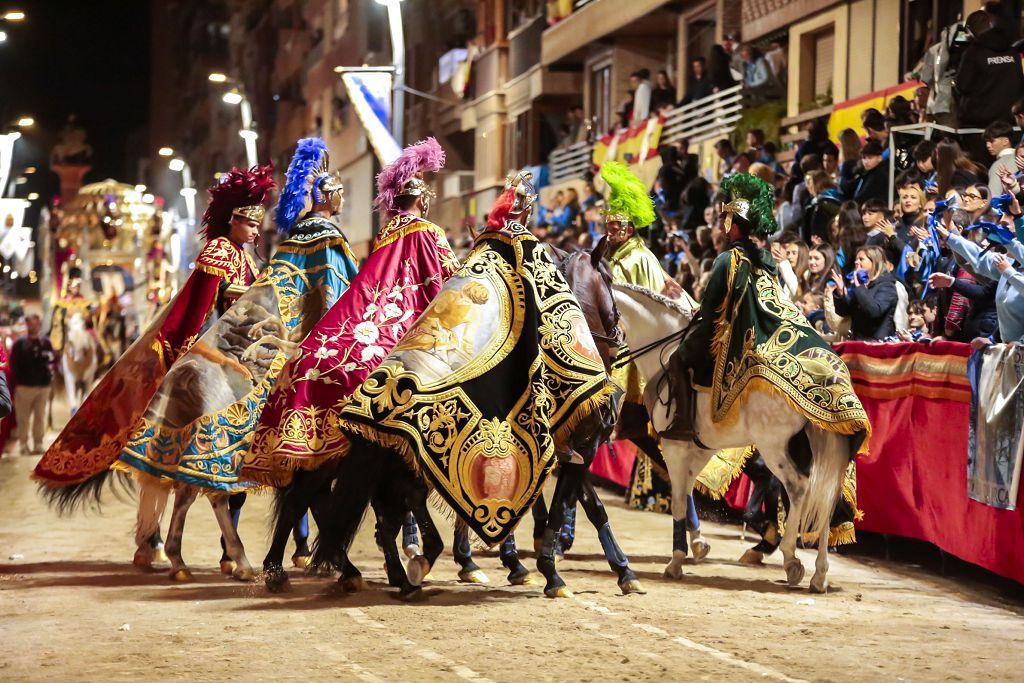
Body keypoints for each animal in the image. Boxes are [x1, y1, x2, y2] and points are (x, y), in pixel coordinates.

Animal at [614, 282, 856, 593]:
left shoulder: (674, 446)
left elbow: (679, 498)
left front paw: (678, 559)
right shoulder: (700, 449)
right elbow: (686, 493)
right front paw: (696, 545)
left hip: (774, 447)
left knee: (798, 488)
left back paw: (790, 558)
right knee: (824, 497)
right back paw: (818, 574)